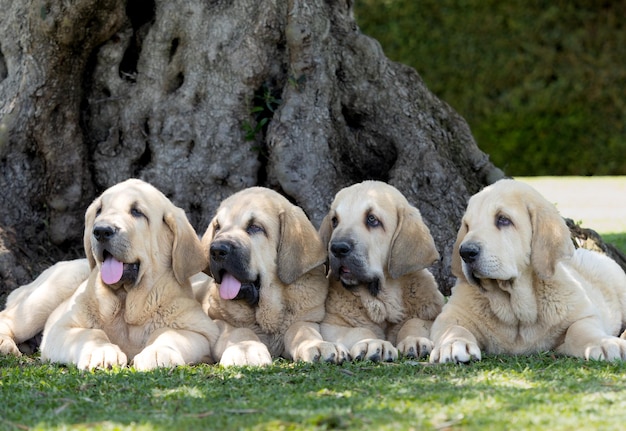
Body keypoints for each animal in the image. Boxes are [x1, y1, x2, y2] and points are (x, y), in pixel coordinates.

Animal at [316, 181, 444, 362]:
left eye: (372, 219)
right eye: (335, 221)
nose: (338, 248)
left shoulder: (430, 316)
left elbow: (414, 323)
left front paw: (415, 340)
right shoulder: (330, 325)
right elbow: (360, 330)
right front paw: (373, 343)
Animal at [428, 180, 624, 364]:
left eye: (503, 219)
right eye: (467, 226)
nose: (466, 252)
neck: (515, 309)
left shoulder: (582, 314)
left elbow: (582, 330)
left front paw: (604, 343)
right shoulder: (450, 314)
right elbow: (453, 327)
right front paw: (453, 344)